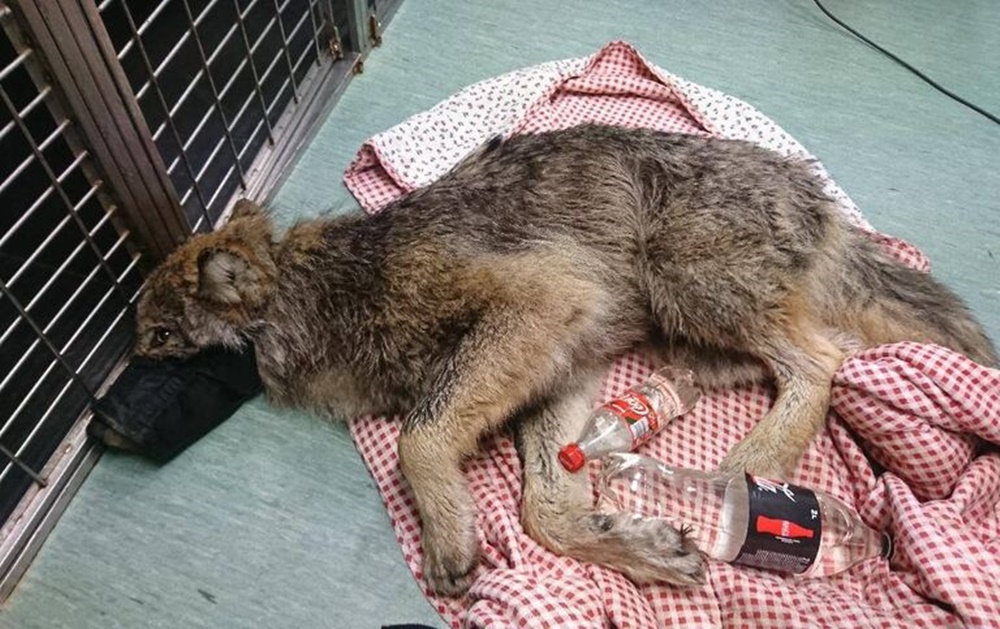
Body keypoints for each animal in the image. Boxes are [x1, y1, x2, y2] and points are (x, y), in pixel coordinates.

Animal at [134, 124, 997, 596]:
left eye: (158, 338)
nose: (110, 412)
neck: (324, 289)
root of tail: (813, 192)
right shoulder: (566, 368)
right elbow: (543, 507)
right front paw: (633, 544)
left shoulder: (541, 307)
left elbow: (418, 438)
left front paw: (447, 533)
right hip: (686, 324)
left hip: (684, 278)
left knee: (821, 359)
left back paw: (753, 467)